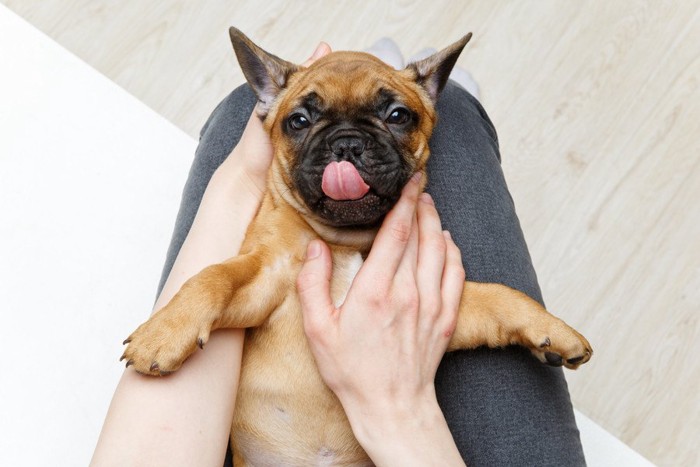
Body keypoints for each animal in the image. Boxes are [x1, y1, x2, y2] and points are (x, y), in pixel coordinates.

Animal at [121, 28, 592, 464]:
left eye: (398, 115)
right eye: (299, 121)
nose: (347, 143)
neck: (345, 240)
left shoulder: (443, 304)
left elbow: (499, 296)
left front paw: (554, 331)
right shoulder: (265, 278)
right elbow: (213, 276)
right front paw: (162, 334)